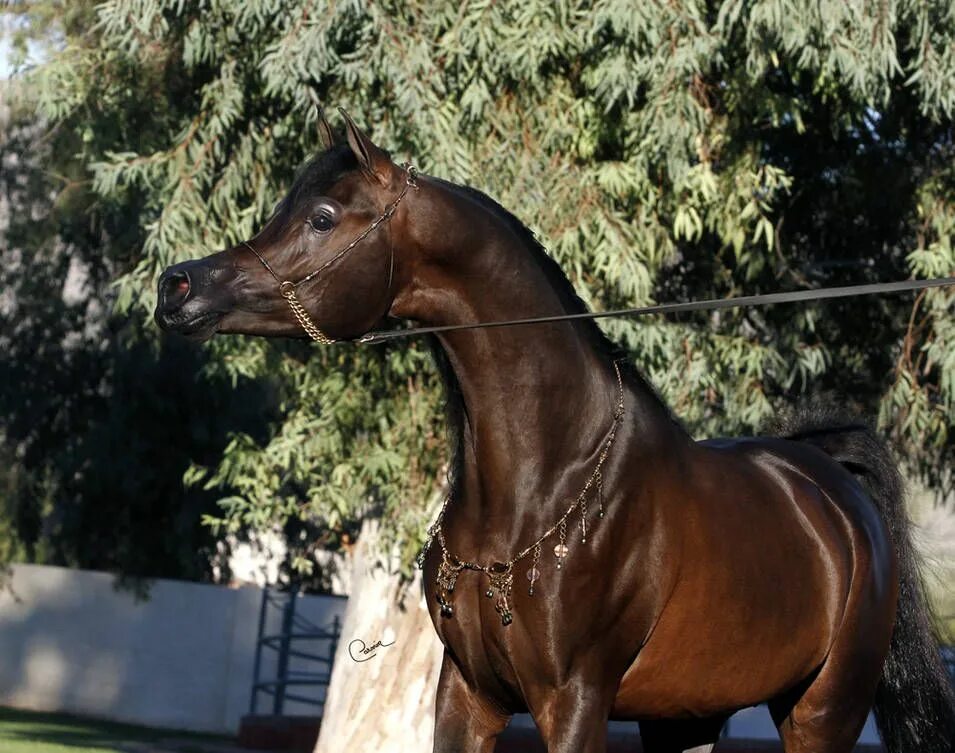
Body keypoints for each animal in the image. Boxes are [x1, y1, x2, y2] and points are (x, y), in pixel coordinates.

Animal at [157, 111, 955, 752]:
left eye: (322, 217)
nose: (178, 286)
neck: (543, 481)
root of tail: (831, 489)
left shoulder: (573, 701)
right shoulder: (467, 695)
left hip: (822, 710)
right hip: (687, 715)